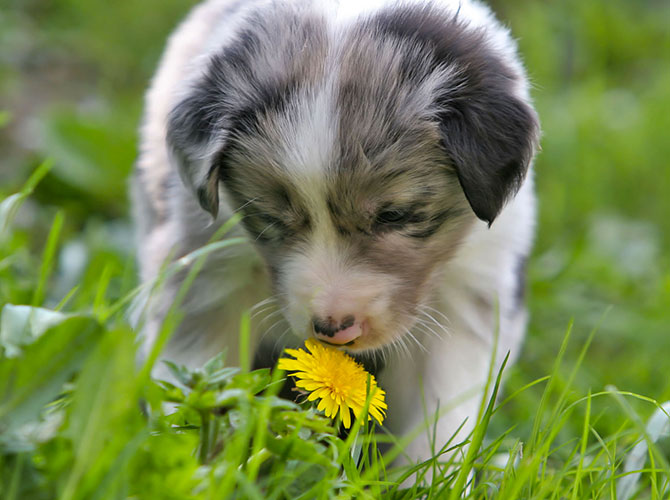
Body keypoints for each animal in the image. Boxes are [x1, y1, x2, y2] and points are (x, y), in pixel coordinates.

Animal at [131, 0, 540, 466]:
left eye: (394, 215)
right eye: (270, 217)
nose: (333, 328)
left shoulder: (471, 288)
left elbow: (438, 419)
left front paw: (425, 475)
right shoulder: (206, 269)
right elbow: (203, 382)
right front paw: (203, 464)